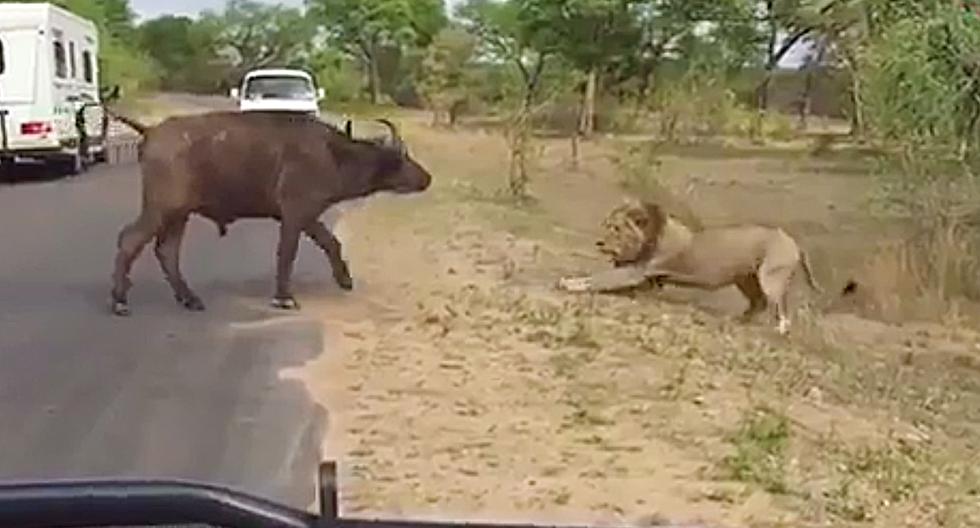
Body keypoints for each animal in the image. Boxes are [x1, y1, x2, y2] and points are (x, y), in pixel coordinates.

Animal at [105, 110, 430, 316]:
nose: (426, 178)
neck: (333, 153)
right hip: (161, 209)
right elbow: (287, 254)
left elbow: (331, 243)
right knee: (130, 240)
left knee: (167, 251)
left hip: (178, 215)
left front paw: (345, 280)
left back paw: (190, 299)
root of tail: (151, 131)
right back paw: (120, 301)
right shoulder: (296, 214)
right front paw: (284, 298)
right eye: (403, 158)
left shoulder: (307, 216)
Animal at [556, 198, 824, 334]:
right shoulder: (645, 281)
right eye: (607, 224)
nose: (599, 243)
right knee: (758, 303)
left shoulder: (634, 272)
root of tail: (793, 241)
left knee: (780, 306)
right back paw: (739, 320)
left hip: (769, 277)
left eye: (617, 229)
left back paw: (780, 328)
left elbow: (597, 278)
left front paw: (567, 283)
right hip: (746, 279)